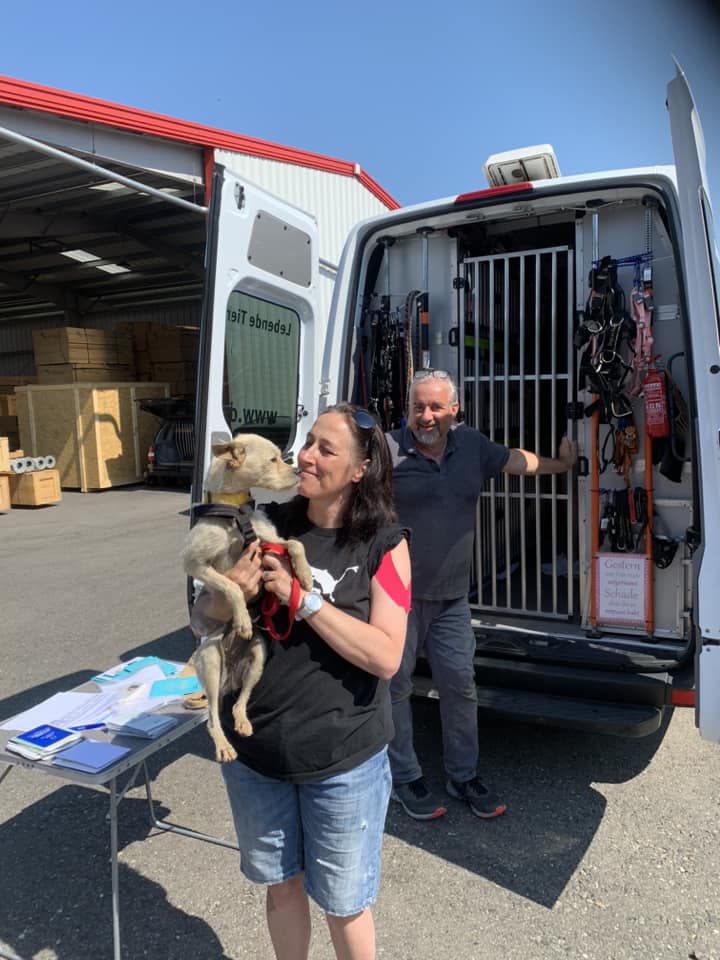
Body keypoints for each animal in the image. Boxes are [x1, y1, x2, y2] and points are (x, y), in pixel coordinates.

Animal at [182, 435, 313, 762]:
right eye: (273, 460)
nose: (298, 473)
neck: (236, 511)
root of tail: (229, 677)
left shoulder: (268, 540)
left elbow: (296, 543)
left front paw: (304, 576)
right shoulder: (194, 563)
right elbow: (232, 585)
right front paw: (241, 618)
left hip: (259, 655)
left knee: (240, 701)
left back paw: (242, 720)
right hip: (210, 659)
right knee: (213, 718)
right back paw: (223, 745)